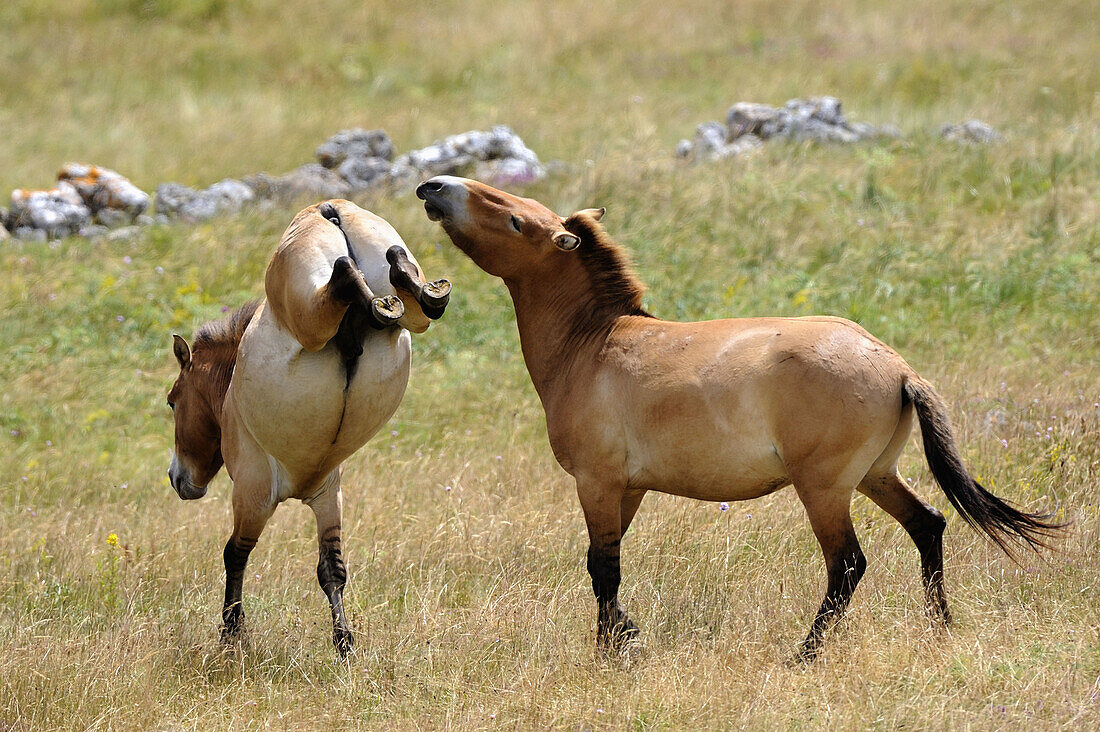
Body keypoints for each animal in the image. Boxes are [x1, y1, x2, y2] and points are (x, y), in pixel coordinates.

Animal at [167, 200, 451, 656]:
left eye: (172, 400)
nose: (177, 479)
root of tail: (329, 209)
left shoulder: (253, 492)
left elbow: (235, 554)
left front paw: (232, 632)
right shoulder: (328, 495)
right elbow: (331, 569)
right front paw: (344, 643)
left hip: (310, 317)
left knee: (343, 278)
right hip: (405, 312)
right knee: (409, 303)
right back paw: (409, 287)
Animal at [415, 176, 1060, 656]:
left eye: (516, 220)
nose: (435, 186)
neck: (592, 345)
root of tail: (899, 368)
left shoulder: (597, 482)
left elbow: (603, 569)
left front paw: (611, 652)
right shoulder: (628, 488)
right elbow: (605, 567)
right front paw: (623, 637)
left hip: (824, 489)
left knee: (848, 565)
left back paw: (805, 654)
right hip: (876, 476)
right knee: (928, 525)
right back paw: (941, 628)